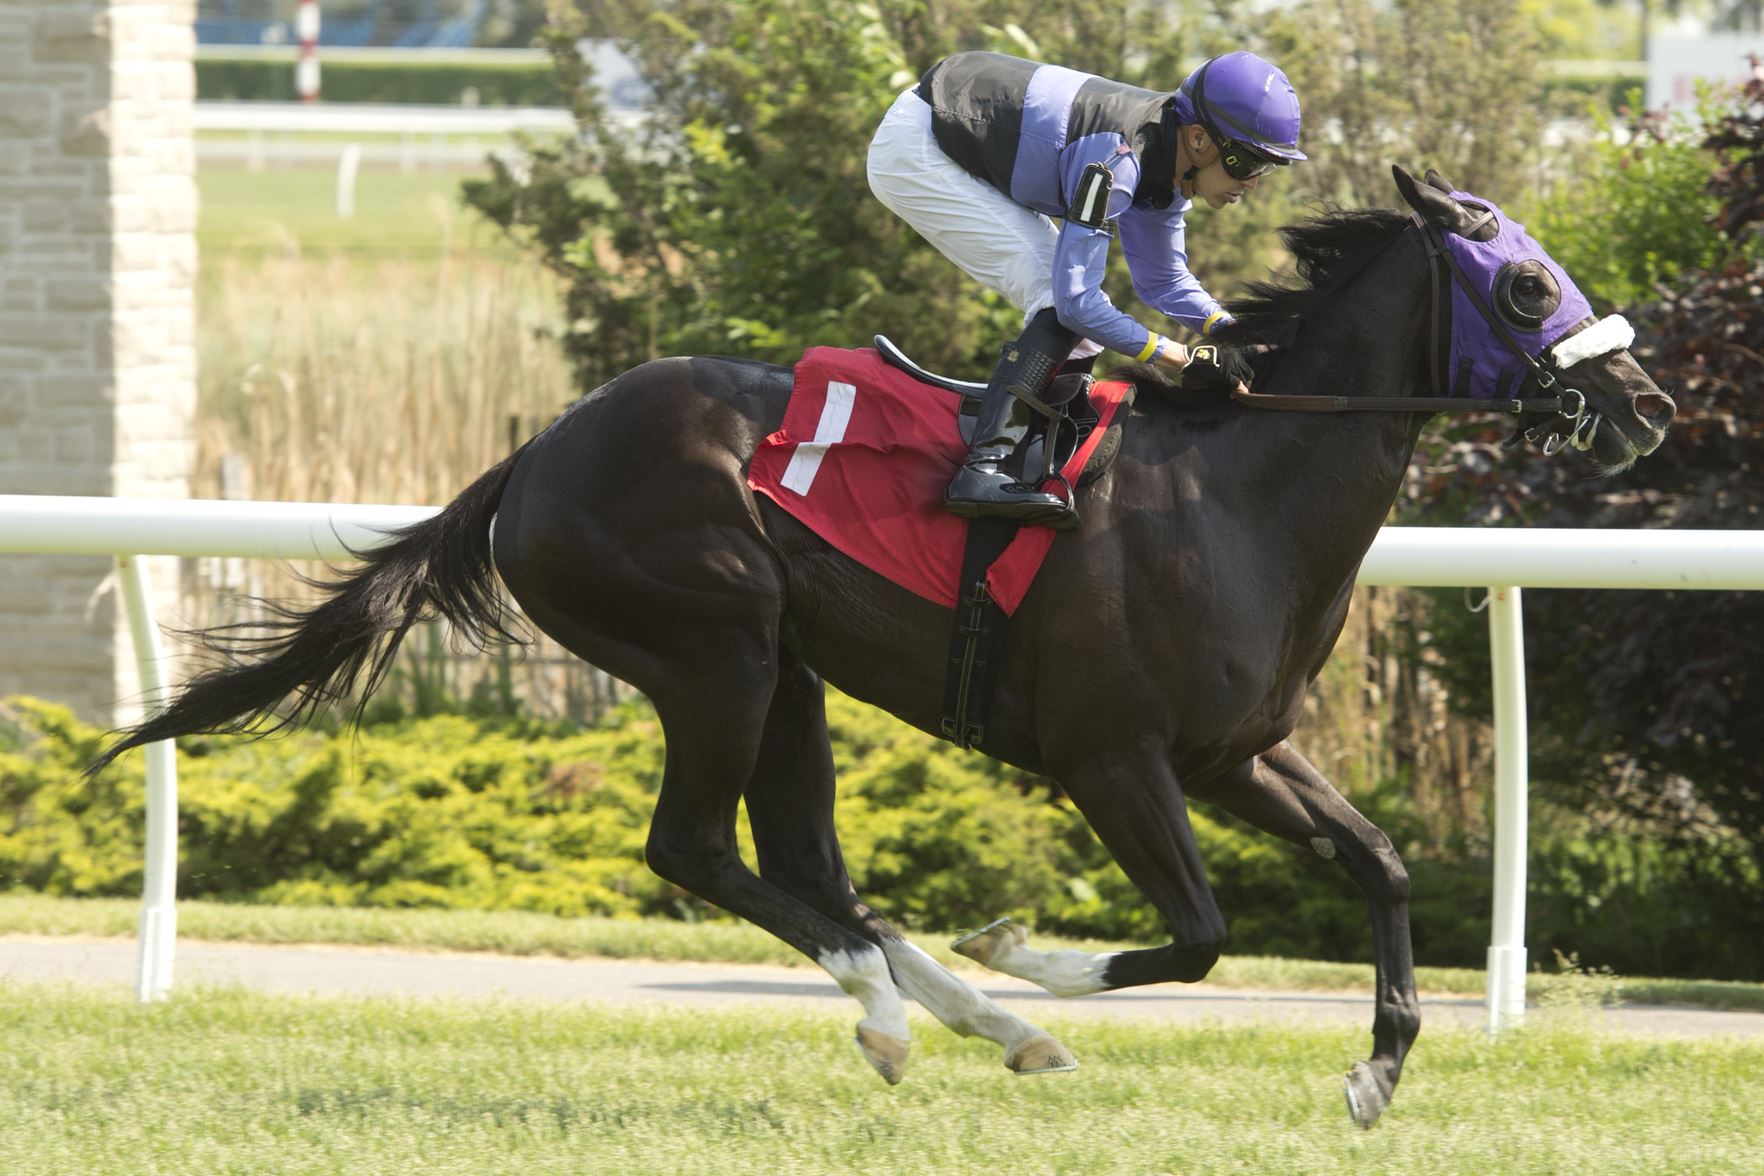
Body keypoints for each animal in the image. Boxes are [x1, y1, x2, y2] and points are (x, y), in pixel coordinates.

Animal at [93, 167, 1665, 1128]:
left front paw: (1379, 1068)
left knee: (803, 860)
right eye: (1526, 289)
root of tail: (536, 454)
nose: (1645, 405)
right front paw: (1033, 956)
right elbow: (1203, 935)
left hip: (785, 669)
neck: (1236, 488)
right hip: (713, 647)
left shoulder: (1237, 753)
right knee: (700, 851)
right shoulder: (1112, 757)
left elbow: (1381, 864)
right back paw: (911, 1011)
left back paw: (963, 1016)